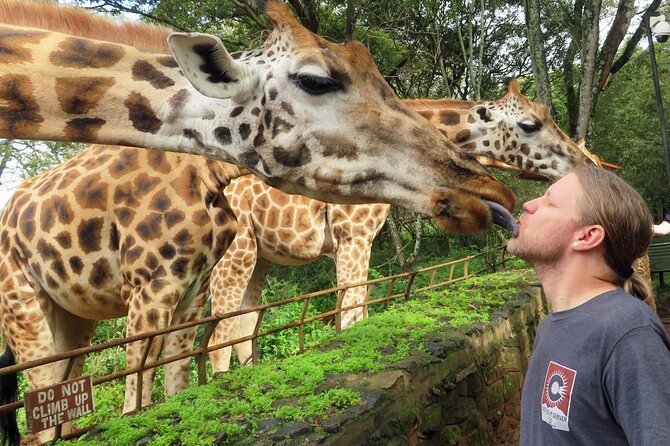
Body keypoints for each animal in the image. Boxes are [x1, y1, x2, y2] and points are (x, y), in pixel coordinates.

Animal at [206, 79, 609, 373]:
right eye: (530, 125)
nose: (585, 165)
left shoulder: (360, 240)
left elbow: (359, 310)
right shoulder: (352, 236)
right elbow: (350, 314)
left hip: (260, 257)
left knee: (243, 327)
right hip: (234, 255)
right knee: (216, 337)